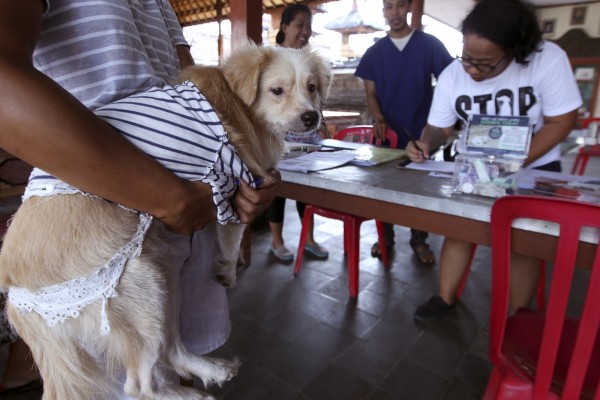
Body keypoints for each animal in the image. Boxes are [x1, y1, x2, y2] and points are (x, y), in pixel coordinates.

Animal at [0, 43, 328, 400]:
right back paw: (192, 395)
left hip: (162, 279)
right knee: (139, 385)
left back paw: (213, 371)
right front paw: (227, 271)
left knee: (170, 350)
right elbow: (232, 235)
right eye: (276, 90)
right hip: (139, 284)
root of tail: (16, 298)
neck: (238, 104)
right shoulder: (233, 186)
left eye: (312, 87)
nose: (311, 117)